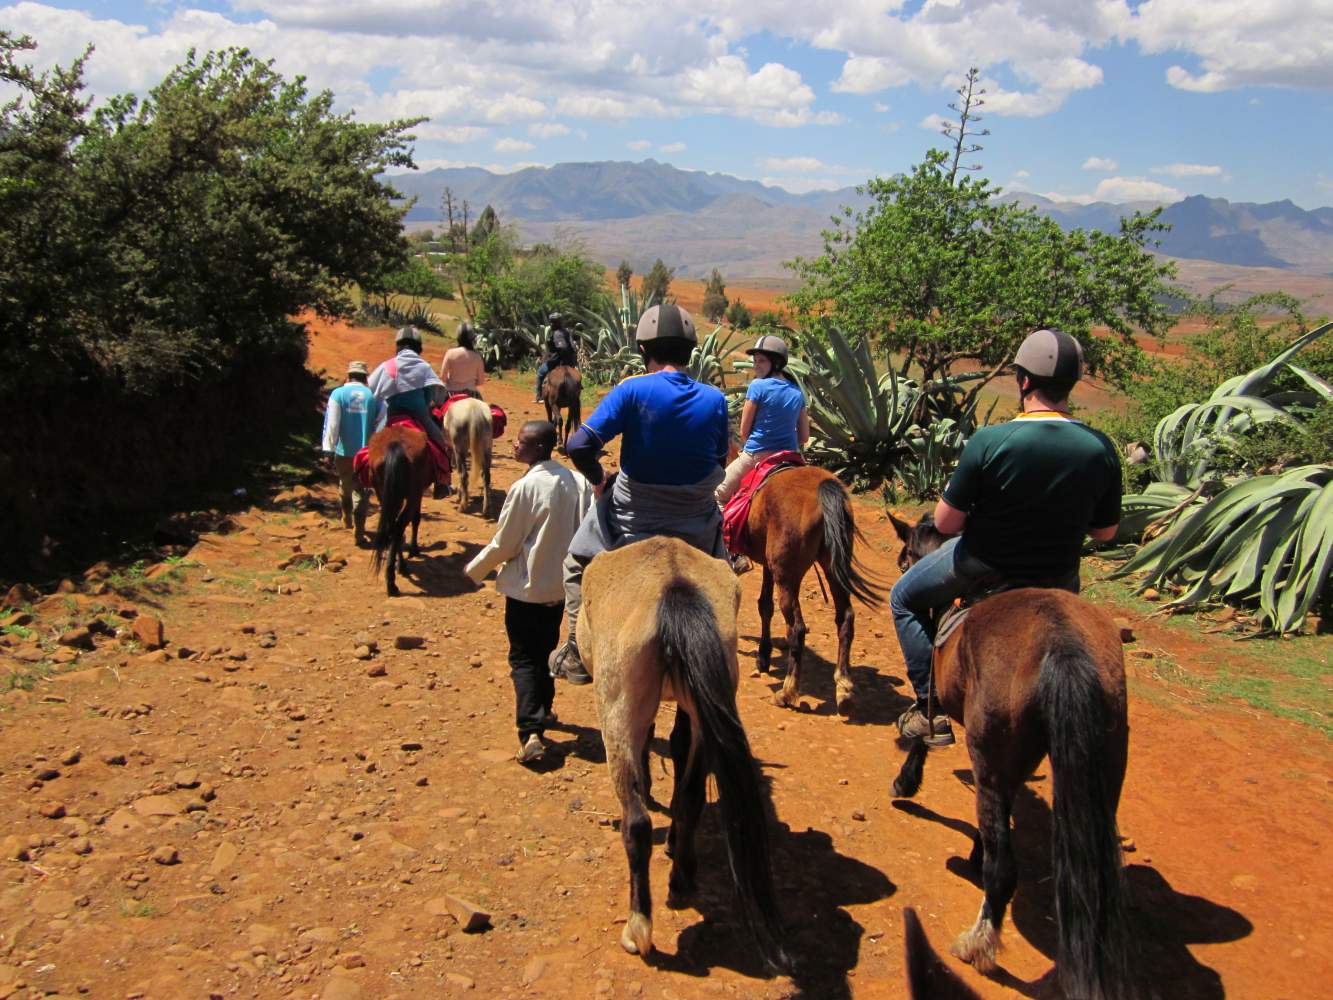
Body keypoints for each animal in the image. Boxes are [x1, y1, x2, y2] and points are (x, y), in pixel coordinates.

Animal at [365, 426, 431, 600]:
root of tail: (395, 447)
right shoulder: (418, 494)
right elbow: (416, 519)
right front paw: (414, 549)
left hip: (383, 493)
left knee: (393, 527)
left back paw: (393, 574)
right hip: (413, 494)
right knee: (399, 526)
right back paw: (393, 581)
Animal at [583, 536, 789, 976]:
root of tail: (675, 589)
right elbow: (677, 753)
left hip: (616, 710)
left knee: (637, 822)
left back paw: (639, 927)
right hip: (703, 705)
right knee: (691, 794)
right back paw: (681, 877)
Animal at [741, 466, 885, 714]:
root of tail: (823, 489)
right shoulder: (768, 565)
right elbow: (764, 606)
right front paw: (763, 656)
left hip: (787, 577)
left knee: (797, 629)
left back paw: (787, 692)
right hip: (832, 567)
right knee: (845, 618)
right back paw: (844, 689)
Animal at [885, 517, 1135, 1000]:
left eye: (907, 553)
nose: (901, 565)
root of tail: (1063, 643)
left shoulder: (943, 702)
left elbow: (925, 722)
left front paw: (906, 780)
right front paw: (975, 849)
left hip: (993, 757)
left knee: (1004, 871)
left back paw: (976, 944)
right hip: (1104, 766)